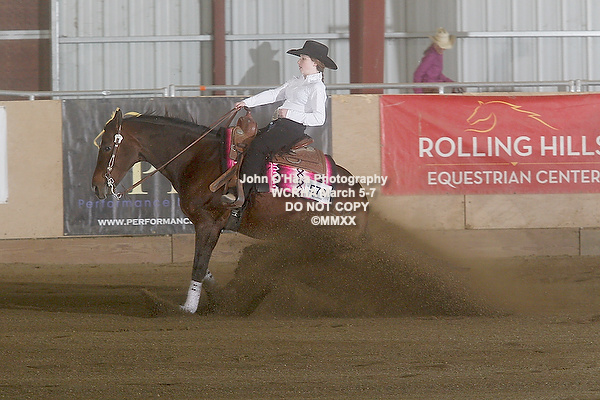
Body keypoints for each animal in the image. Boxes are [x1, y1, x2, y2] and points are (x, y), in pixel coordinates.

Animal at [91, 108, 368, 313]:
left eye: (106, 148)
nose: (96, 186)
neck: (198, 159)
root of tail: (359, 192)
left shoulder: (209, 223)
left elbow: (198, 265)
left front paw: (188, 307)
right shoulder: (205, 225)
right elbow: (203, 266)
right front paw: (223, 297)